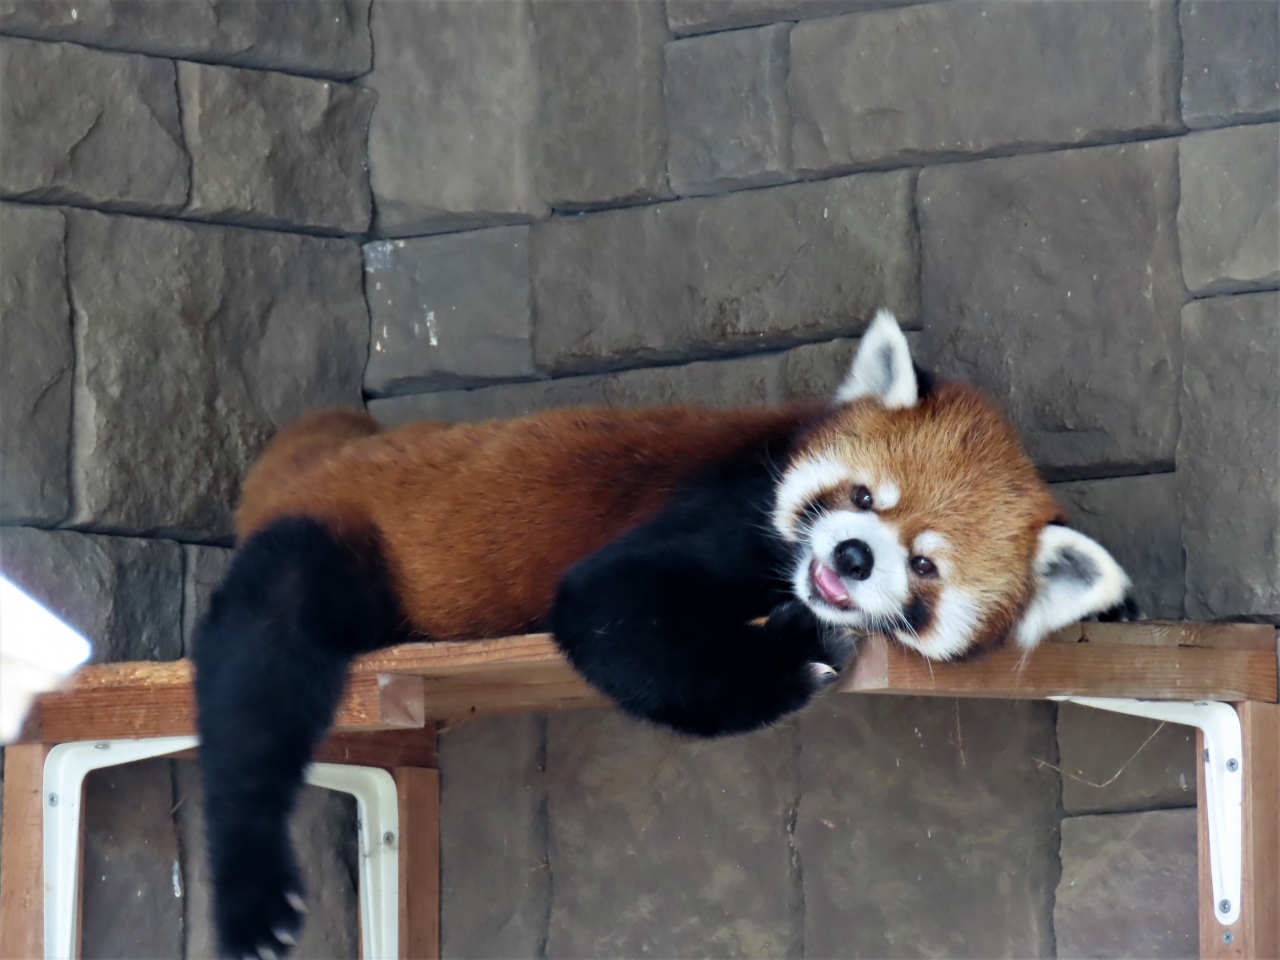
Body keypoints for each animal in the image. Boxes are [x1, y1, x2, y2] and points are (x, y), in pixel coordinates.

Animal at [189, 312, 1131, 957]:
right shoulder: (730, 507)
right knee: (261, 666)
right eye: (863, 497)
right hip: (345, 547)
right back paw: (252, 894)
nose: (853, 556)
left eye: (926, 566)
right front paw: (790, 660)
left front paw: (1109, 606)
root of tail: (325, 462)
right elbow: (607, 612)